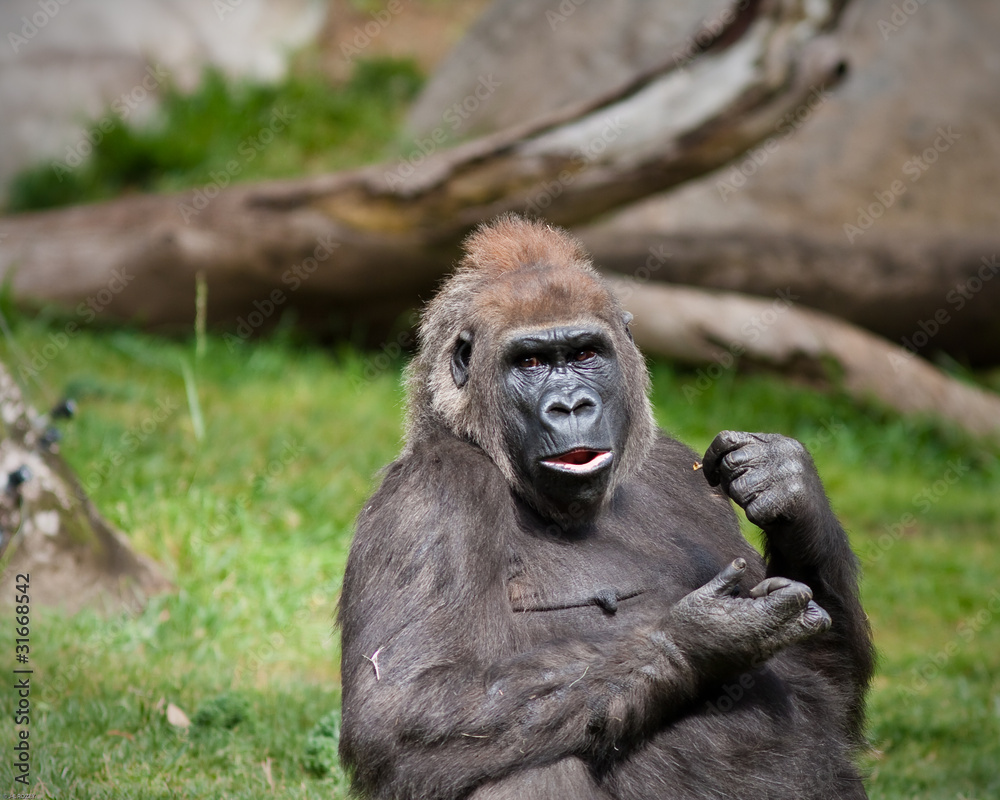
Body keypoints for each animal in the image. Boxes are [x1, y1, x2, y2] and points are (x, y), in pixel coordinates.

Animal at [338, 214, 874, 799]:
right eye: (529, 361)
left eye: (585, 354)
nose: (571, 405)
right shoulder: (431, 496)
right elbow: (404, 706)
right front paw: (704, 636)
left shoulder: (675, 464)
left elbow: (820, 687)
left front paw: (789, 487)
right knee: (525, 769)